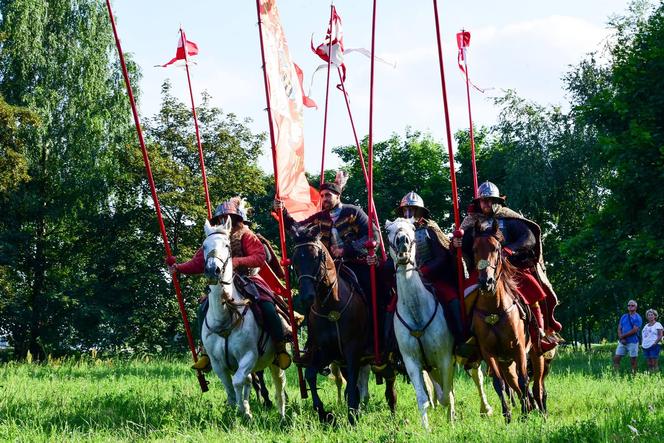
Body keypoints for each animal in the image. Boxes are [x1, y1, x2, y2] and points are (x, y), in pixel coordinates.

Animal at [202, 220, 286, 422]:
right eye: (204, 246)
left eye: (226, 245)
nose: (212, 270)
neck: (224, 317)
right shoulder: (217, 363)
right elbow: (230, 386)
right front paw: (235, 409)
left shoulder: (248, 356)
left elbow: (238, 381)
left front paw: (244, 410)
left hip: (275, 361)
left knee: (279, 384)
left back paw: (281, 415)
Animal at [290, 225, 394, 426]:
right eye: (295, 259)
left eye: (316, 256)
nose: (307, 297)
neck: (331, 305)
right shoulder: (326, 351)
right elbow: (310, 375)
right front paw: (324, 413)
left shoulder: (352, 350)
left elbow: (353, 382)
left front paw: (352, 416)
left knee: (389, 380)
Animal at [470, 220, 548, 422]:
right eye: (474, 249)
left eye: (497, 248)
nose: (486, 282)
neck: (494, 308)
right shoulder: (489, 353)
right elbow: (500, 384)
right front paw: (508, 417)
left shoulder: (519, 348)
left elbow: (524, 381)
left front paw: (526, 414)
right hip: (507, 363)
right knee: (516, 386)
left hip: (536, 354)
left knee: (537, 386)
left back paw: (541, 411)